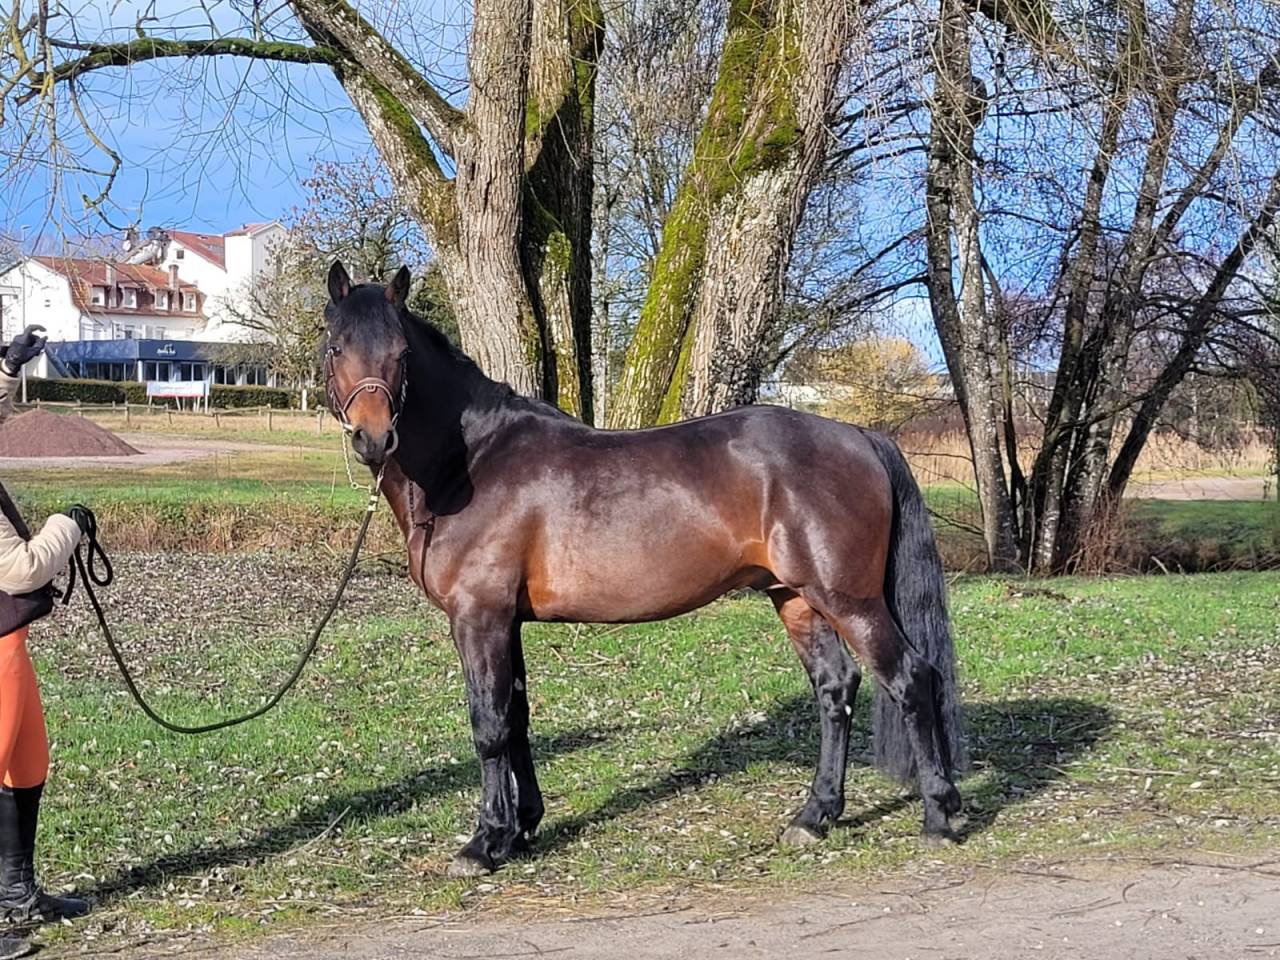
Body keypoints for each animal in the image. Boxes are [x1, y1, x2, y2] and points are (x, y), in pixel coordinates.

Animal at [321, 261, 966, 877]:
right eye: (336, 347)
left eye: (401, 353)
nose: (374, 438)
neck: (471, 464)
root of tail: (859, 435)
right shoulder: (507, 622)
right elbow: (519, 716)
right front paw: (524, 829)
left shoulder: (479, 618)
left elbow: (490, 725)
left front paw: (485, 842)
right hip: (796, 597)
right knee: (836, 688)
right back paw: (814, 817)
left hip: (849, 599)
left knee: (910, 678)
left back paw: (939, 814)